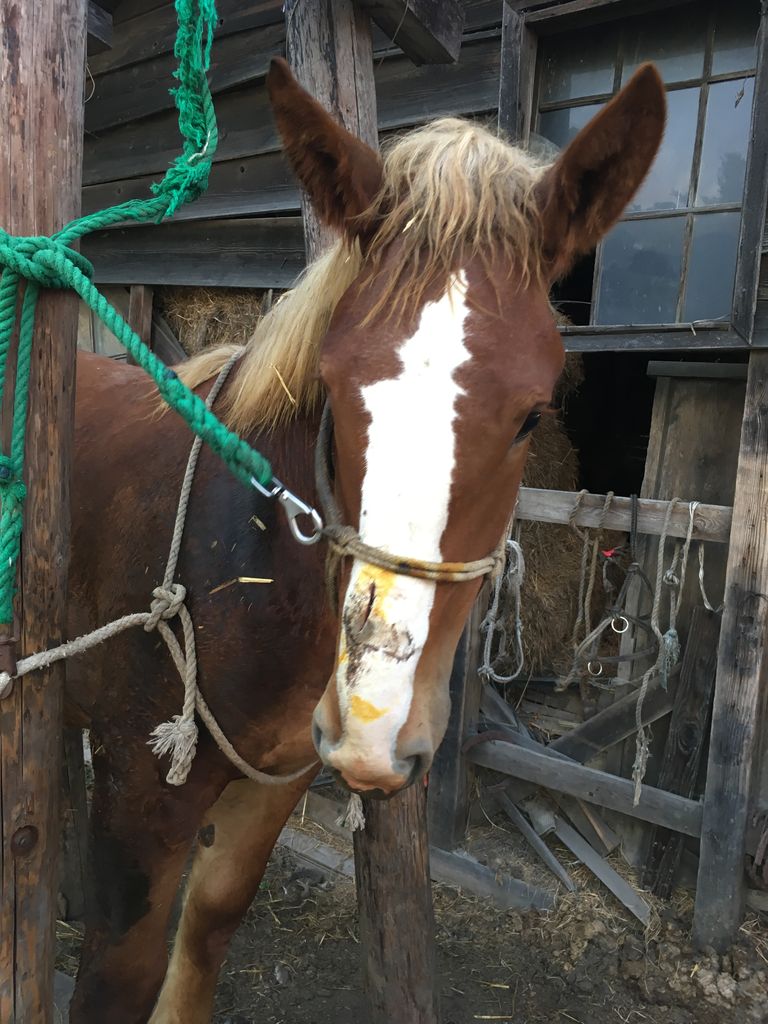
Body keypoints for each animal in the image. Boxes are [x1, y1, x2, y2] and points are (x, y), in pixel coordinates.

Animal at [65, 57, 665, 1023]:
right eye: (335, 385)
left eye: (534, 415)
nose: (374, 727)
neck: (242, 565)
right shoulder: (136, 794)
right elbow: (118, 978)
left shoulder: (271, 783)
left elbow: (207, 930)